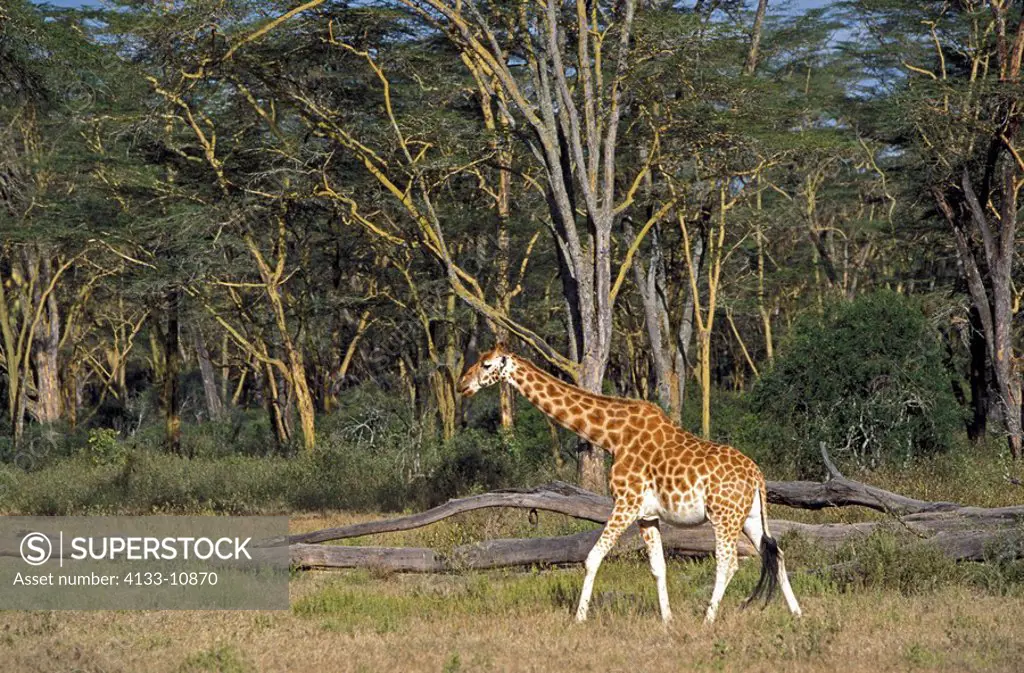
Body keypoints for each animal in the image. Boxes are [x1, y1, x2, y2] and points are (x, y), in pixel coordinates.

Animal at [456, 346, 798, 622]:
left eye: (486, 364)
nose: (462, 385)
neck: (611, 436)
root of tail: (757, 476)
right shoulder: (647, 515)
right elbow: (658, 567)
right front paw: (667, 620)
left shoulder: (626, 503)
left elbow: (592, 558)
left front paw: (579, 618)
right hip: (749, 516)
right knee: (776, 553)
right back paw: (797, 614)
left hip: (723, 516)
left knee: (728, 562)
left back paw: (708, 619)